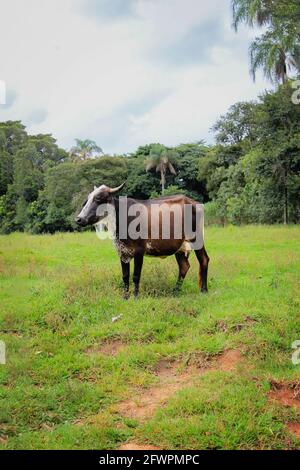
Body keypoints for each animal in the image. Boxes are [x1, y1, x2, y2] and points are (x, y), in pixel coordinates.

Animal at [76, 184, 210, 298]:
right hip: (180, 247)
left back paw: (204, 290)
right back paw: (175, 291)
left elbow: (136, 275)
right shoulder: (122, 252)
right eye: (87, 199)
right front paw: (125, 297)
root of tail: (194, 202)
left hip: (197, 239)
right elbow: (125, 276)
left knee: (204, 259)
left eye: (98, 198)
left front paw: (135, 297)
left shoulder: (139, 251)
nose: (78, 219)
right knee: (184, 266)